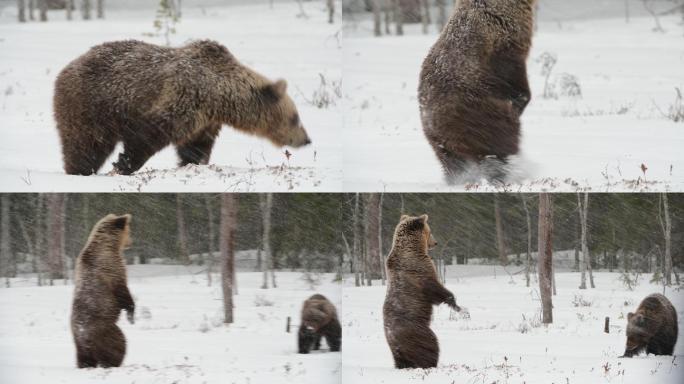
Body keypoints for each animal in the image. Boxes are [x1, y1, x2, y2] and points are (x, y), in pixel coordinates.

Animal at [54, 39, 312, 176]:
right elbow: (149, 134)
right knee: (87, 142)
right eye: (296, 117)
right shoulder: (184, 96)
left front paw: (193, 163)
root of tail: (67, 67)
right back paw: (80, 170)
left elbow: (195, 147)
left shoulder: (205, 120)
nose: (307, 140)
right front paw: (124, 164)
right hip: (92, 104)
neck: (220, 95)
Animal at [72, 214, 136, 368]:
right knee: (118, 344)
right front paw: (131, 315)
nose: (131, 242)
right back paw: (114, 362)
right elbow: (123, 292)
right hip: (105, 330)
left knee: (84, 358)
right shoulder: (112, 267)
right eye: (129, 231)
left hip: (79, 345)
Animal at [382, 214, 462, 368]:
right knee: (430, 345)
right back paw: (431, 363)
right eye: (429, 232)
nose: (435, 243)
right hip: (418, 332)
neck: (413, 248)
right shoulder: (419, 271)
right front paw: (456, 305)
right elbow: (435, 289)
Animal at [420, 0, 536, 183]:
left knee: (453, 163)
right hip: (479, 116)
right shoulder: (502, 44)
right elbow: (512, 75)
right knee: (499, 146)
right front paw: (521, 99)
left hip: (440, 144)